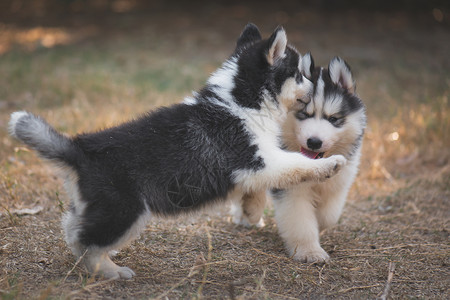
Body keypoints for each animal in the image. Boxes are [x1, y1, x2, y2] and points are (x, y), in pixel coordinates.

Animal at [7, 24, 346, 278]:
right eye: (300, 75)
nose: (315, 85)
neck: (241, 101)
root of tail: (80, 148)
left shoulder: (255, 165)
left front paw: (250, 212)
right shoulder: (260, 160)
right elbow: (298, 163)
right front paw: (331, 163)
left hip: (98, 207)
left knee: (72, 231)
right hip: (125, 210)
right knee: (87, 243)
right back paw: (110, 271)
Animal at [236, 53, 366, 262]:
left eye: (333, 119)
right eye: (304, 114)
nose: (314, 142)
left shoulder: (340, 180)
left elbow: (329, 215)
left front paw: (319, 222)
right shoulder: (292, 187)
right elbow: (300, 220)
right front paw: (310, 251)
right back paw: (250, 210)